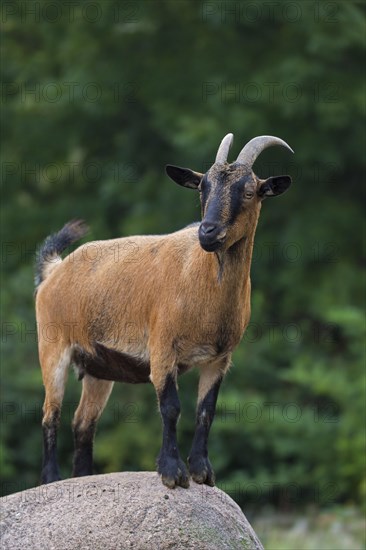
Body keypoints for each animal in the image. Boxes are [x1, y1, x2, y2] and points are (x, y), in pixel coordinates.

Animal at [33, 136, 292, 490]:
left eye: (250, 191)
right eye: (202, 187)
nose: (207, 232)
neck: (200, 277)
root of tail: (54, 270)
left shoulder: (219, 359)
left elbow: (206, 410)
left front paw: (203, 472)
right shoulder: (162, 347)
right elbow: (170, 407)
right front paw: (172, 472)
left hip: (99, 368)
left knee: (83, 422)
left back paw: (84, 476)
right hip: (53, 347)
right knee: (51, 413)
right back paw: (51, 479)